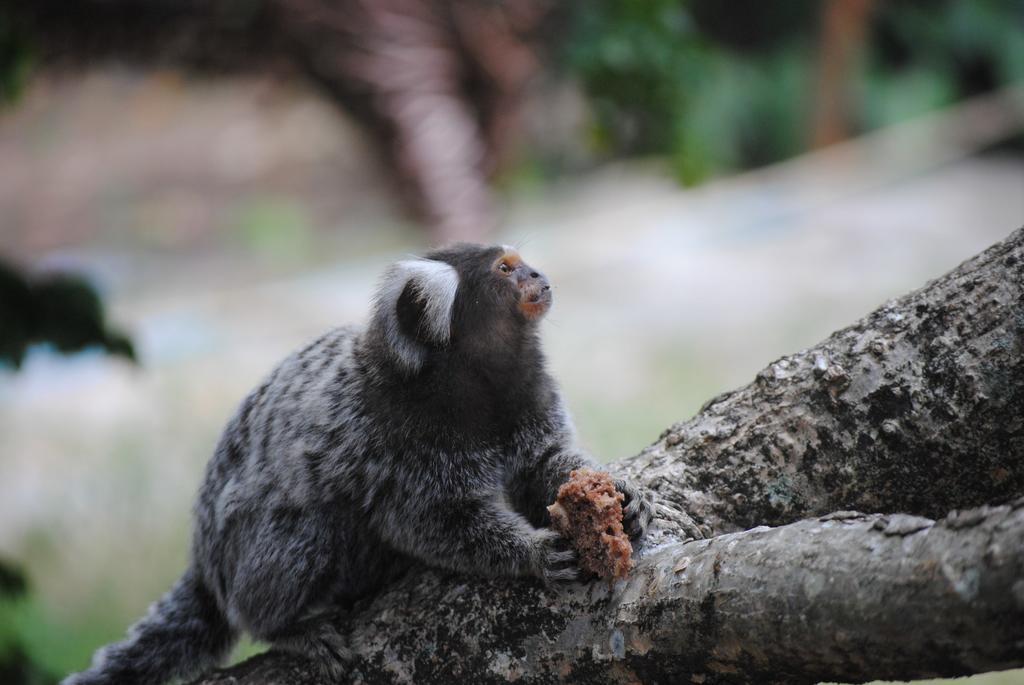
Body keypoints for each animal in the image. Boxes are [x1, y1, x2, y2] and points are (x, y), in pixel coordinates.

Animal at [66, 242, 655, 679]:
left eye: (522, 261)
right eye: (506, 270)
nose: (538, 274)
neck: (477, 382)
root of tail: (204, 558)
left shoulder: (530, 397)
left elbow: (548, 465)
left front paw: (623, 497)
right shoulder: (394, 442)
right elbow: (430, 519)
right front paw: (533, 553)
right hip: (247, 552)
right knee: (304, 529)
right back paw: (286, 626)